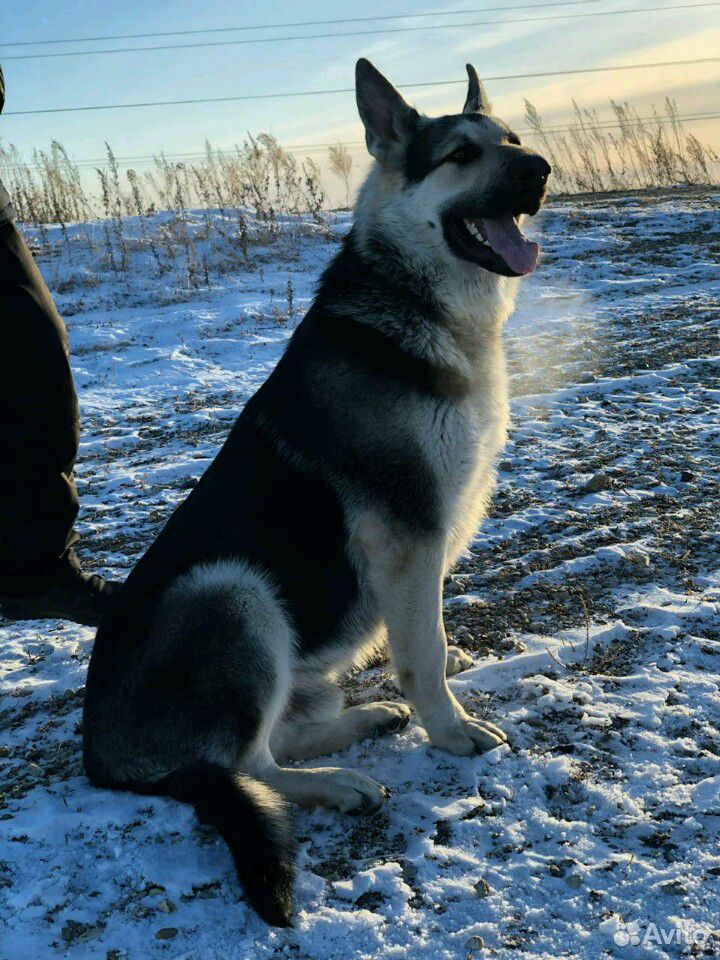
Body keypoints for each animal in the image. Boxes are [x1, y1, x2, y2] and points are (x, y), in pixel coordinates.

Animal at [81, 58, 548, 924]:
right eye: (462, 155)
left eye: (512, 140)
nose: (542, 169)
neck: (417, 296)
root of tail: (98, 756)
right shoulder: (408, 536)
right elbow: (423, 650)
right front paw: (450, 730)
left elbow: (425, 634)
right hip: (234, 592)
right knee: (251, 766)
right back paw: (339, 782)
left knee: (276, 739)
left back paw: (362, 719)